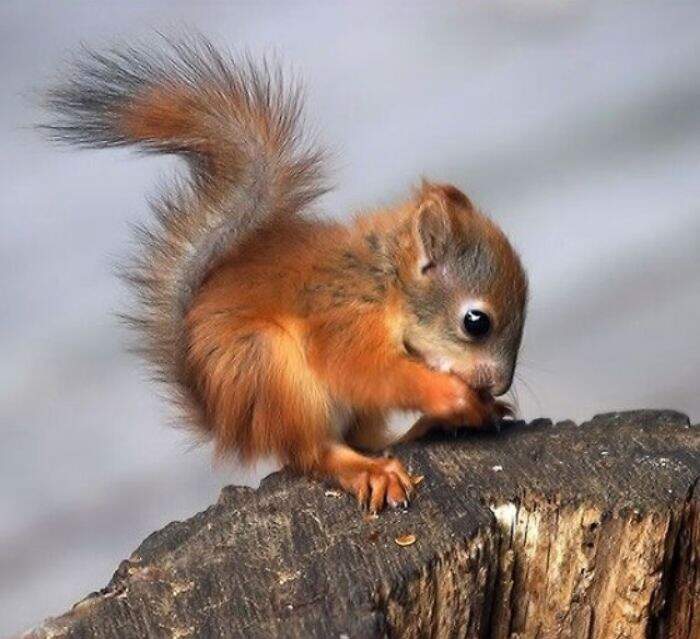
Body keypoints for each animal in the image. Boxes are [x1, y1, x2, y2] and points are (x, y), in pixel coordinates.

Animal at [42, 37, 524, 512]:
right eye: (476, 322)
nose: (500, 383)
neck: (386, 284)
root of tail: (230, 424)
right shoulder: (342, 320)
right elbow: (367, 372)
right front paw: (454, 396)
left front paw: (481, 407)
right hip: (271, 369)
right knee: (314, 453)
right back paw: (371, 469)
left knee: (367, 437)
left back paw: (424, 429)